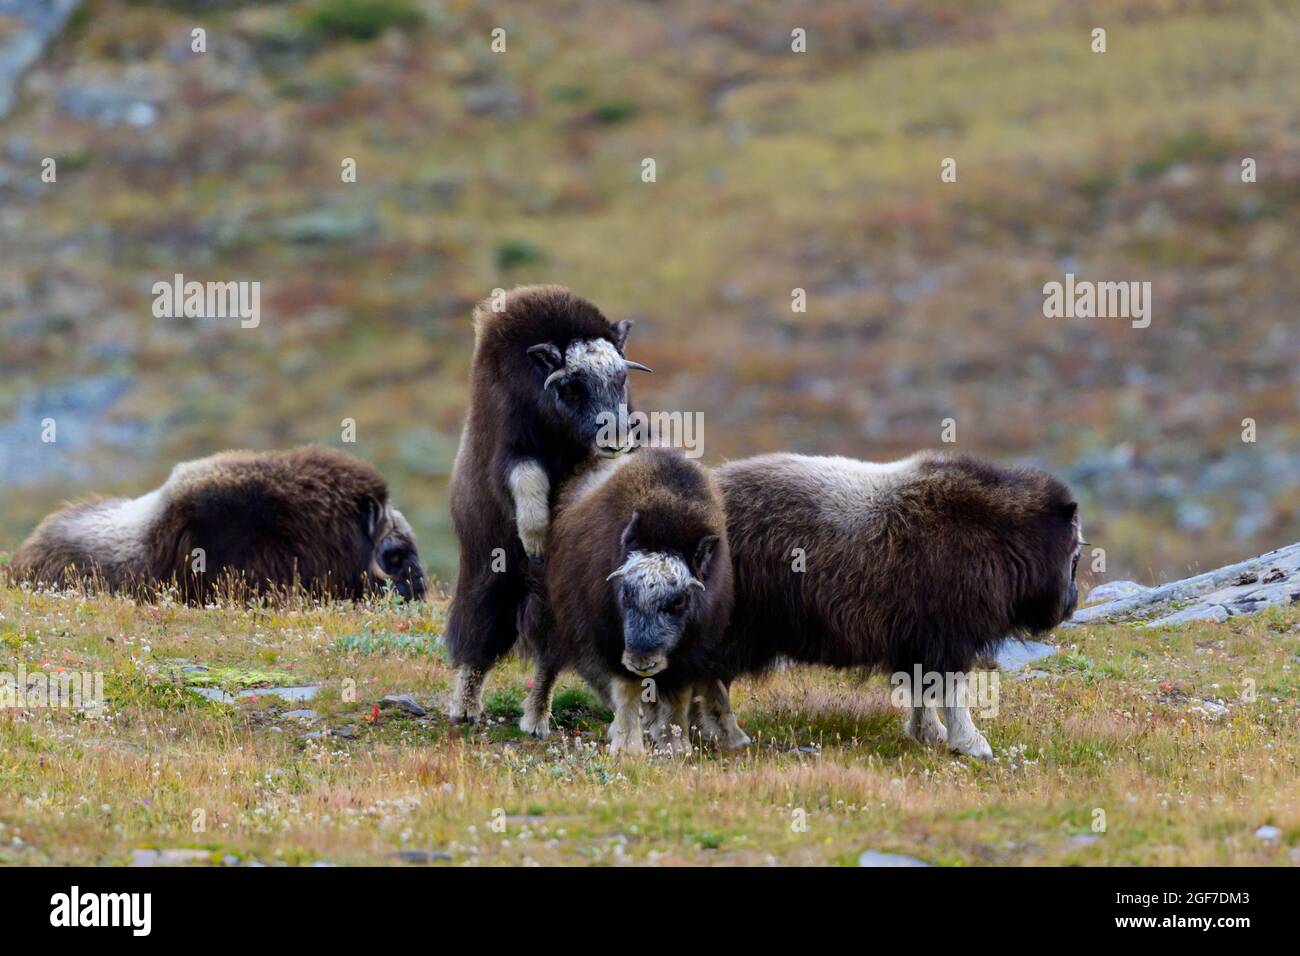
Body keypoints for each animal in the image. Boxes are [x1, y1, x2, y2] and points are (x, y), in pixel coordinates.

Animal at [447, 283, 655, 723]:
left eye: (621, 378)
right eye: (572, 387)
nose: (617, 437)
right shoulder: (514, 447)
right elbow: (526, 480)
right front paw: (537, 541)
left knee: (550, 652)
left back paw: (536, 718)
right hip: (487, 576)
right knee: (480, 638)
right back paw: (465, 709)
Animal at [517, 447, 733, 754]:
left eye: (679, 601)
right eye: (626, 592)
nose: (642, 660)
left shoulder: (692, 648)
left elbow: (677, 696)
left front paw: (676, 745)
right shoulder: (612, 639)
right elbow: (627, 688)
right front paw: (627, 748)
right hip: (551, 612)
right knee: (548, 662)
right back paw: (535, 722)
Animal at [696, 452, 1081, 759]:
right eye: (1075, 555)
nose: (1071, 604)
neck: (1003, 535)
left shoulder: (919, 643)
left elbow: (923, 691)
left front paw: (930, 734)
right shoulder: (950, 638)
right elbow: (953, 690)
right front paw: (973, 745)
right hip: (735, 630)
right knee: (712, 680)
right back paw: (730, 737)